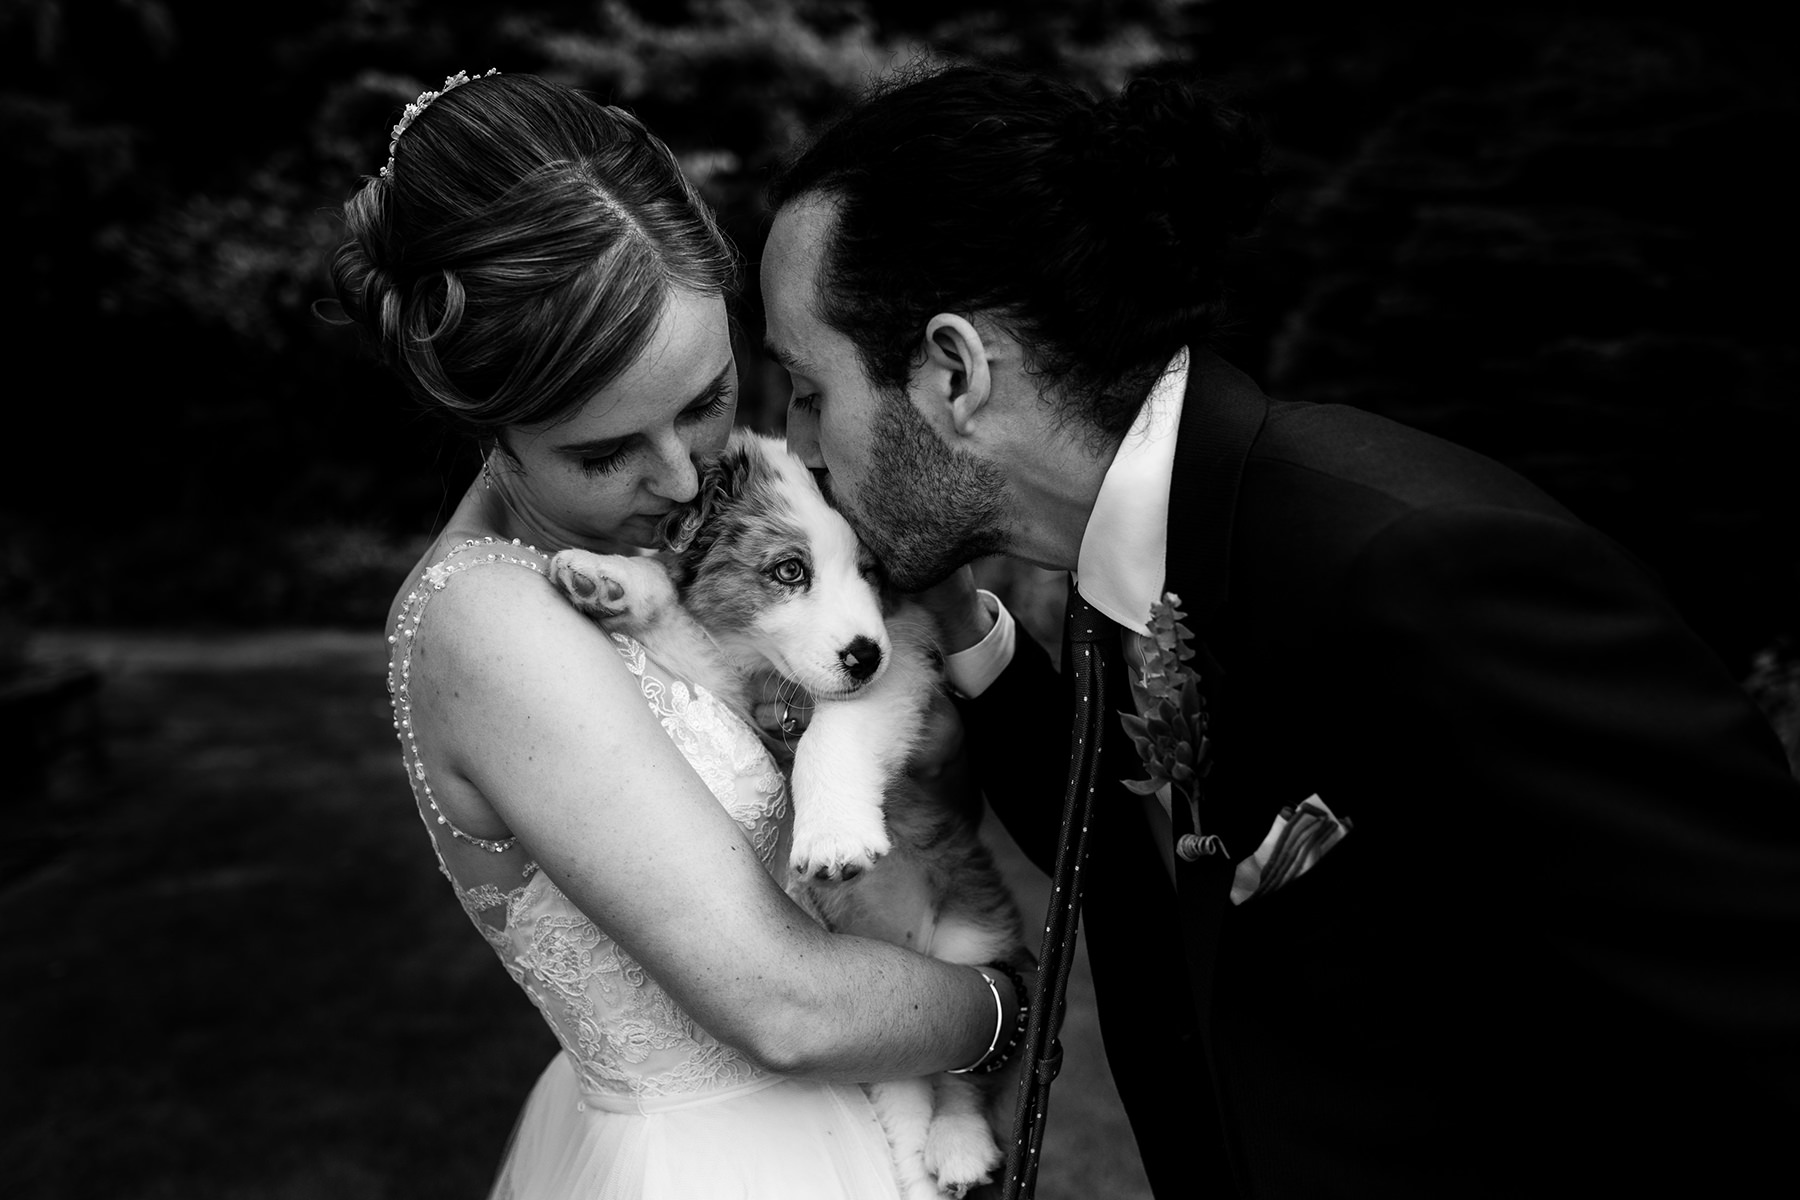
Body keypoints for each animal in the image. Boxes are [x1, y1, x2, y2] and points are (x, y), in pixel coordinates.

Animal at [543, 431, 1029, 1200]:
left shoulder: (905, 659)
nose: (862, 655)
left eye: (871, 572)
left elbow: (838, 728)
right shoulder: (738, 696)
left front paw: (833, 837)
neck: (771, 671)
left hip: (971, 937)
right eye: (790, 570)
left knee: (964, 1072)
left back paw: (958, 1146)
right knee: (907, 1097)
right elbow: (680, 613)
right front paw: (608, 578)